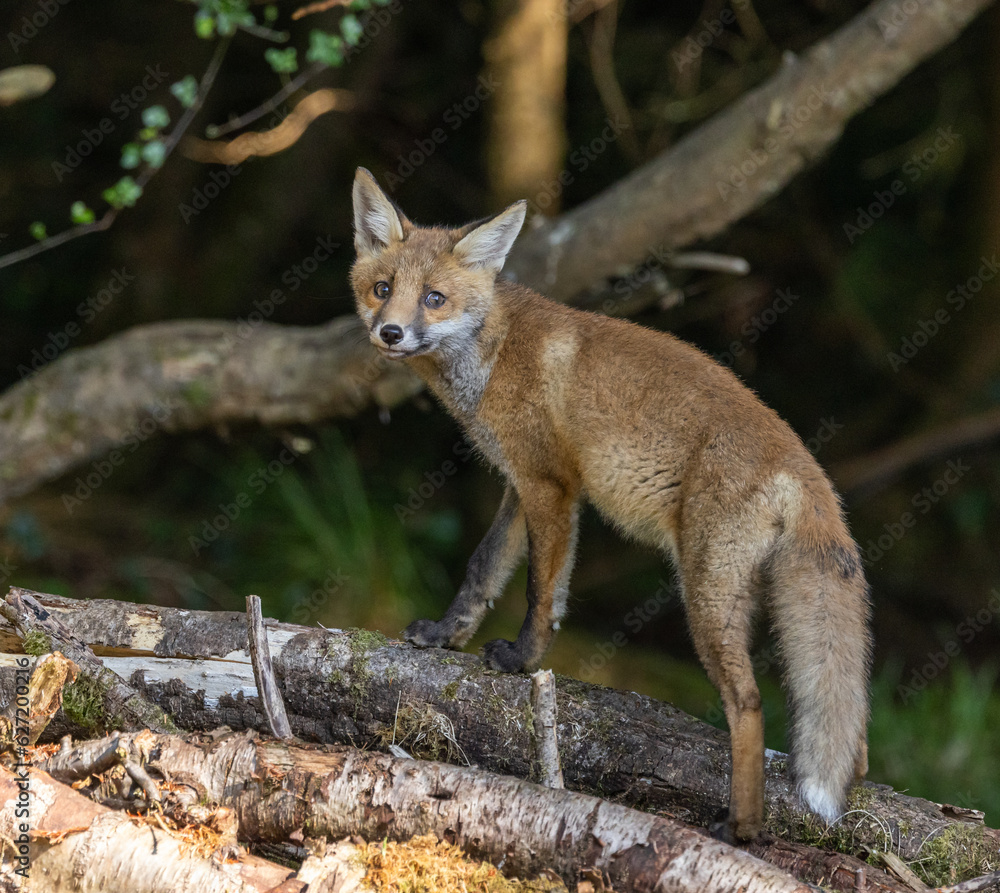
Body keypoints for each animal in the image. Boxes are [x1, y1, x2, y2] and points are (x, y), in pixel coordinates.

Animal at [349, 167, 871, 842]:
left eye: (434, 298)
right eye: (383, 289)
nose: (389, 332)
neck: (492, 353)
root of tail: (803, 462)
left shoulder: (553, 486)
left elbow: (541, 594)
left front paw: (521, 661)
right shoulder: (518, 481)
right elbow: (482, 570)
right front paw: (446, 635)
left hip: (705, 593)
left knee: (749, 704)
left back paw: (741, 828)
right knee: (853, 739)